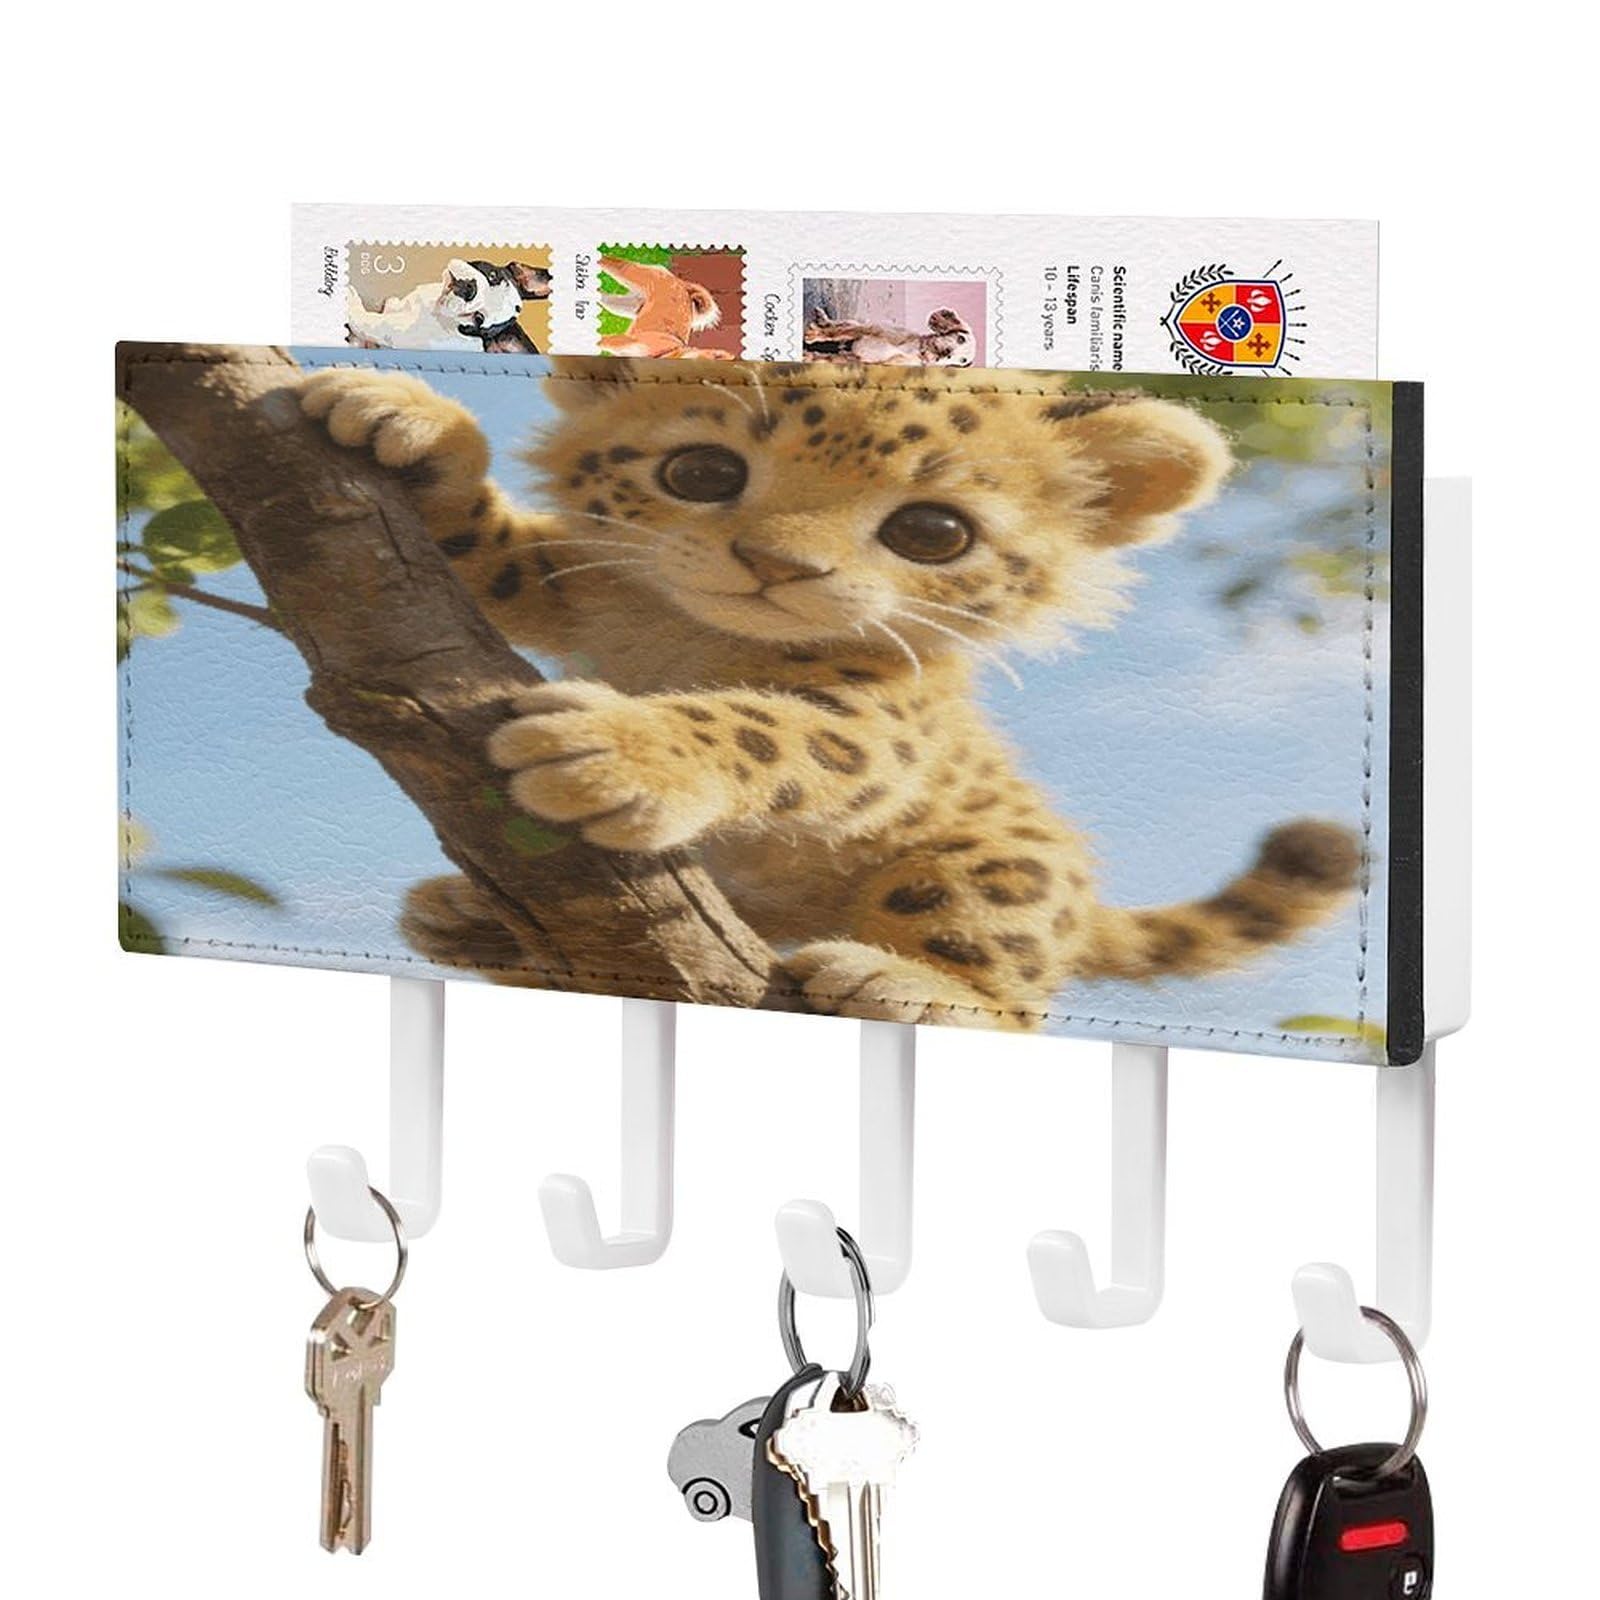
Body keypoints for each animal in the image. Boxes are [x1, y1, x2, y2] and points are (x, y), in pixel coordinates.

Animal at [299, 357, 1361, 1029]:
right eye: (700, 471)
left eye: (932, 531)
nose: (777, 566)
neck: (699, 635)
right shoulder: (576, 580)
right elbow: (497, 555)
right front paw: (415, 435)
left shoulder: (881, 729)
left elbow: (766, 729)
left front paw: (624, 753)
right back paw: (469, 915)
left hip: (999, 868)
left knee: (1011, 1000)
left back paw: (908, 982)